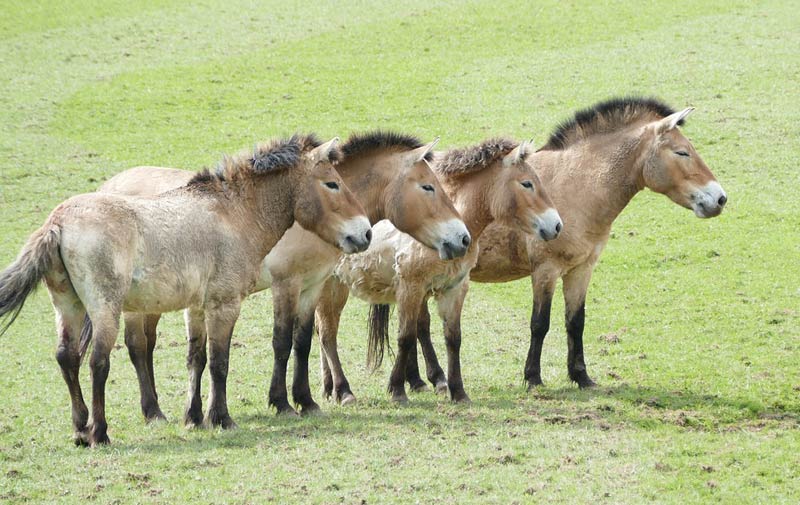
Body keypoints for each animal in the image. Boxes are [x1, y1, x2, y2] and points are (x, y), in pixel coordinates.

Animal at [0, 135, 371, 446]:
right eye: (332, 183)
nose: (365, 233)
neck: (234, 214)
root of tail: (58, 222)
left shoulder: (200, 306)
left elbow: (199, 358)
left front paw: (197, 417)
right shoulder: (226, 304)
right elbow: (220, 362)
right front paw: (223, 418)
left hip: (69, 306)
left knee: (68, 357)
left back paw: (80, 430)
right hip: (107, 309)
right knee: (98, 361)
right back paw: (100, 433)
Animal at [98, 131, 470, 420]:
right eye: (428, 187)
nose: (462, 238)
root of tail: (109, 185)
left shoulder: (313, 284)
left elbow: (303, 341)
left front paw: (306, 400)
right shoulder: (286, 284)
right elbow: (282, 341)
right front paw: (281, 402)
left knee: (147, 346)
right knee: (137, 346)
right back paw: (153, 412)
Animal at [316, 138, 563, 404]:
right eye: (527, 183)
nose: (557, 226)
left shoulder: (454, 289)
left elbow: (453, 338)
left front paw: (458, 391)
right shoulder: (411, 288)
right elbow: (406, 336)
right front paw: (398, 389)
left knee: (321, 331)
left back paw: (329, 387)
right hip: (331, 288)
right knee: (328, 334)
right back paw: (344, 391)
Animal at [405, 96, 728, 392]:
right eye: (682, 152)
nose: (720, 198)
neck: (576, 187)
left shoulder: (581, 269)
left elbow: (576, 321)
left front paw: (581, 376)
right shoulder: (546, 271)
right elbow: (540, 323)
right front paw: (533, 377)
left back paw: (419, 379)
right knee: (419, 326)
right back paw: (432, 379)